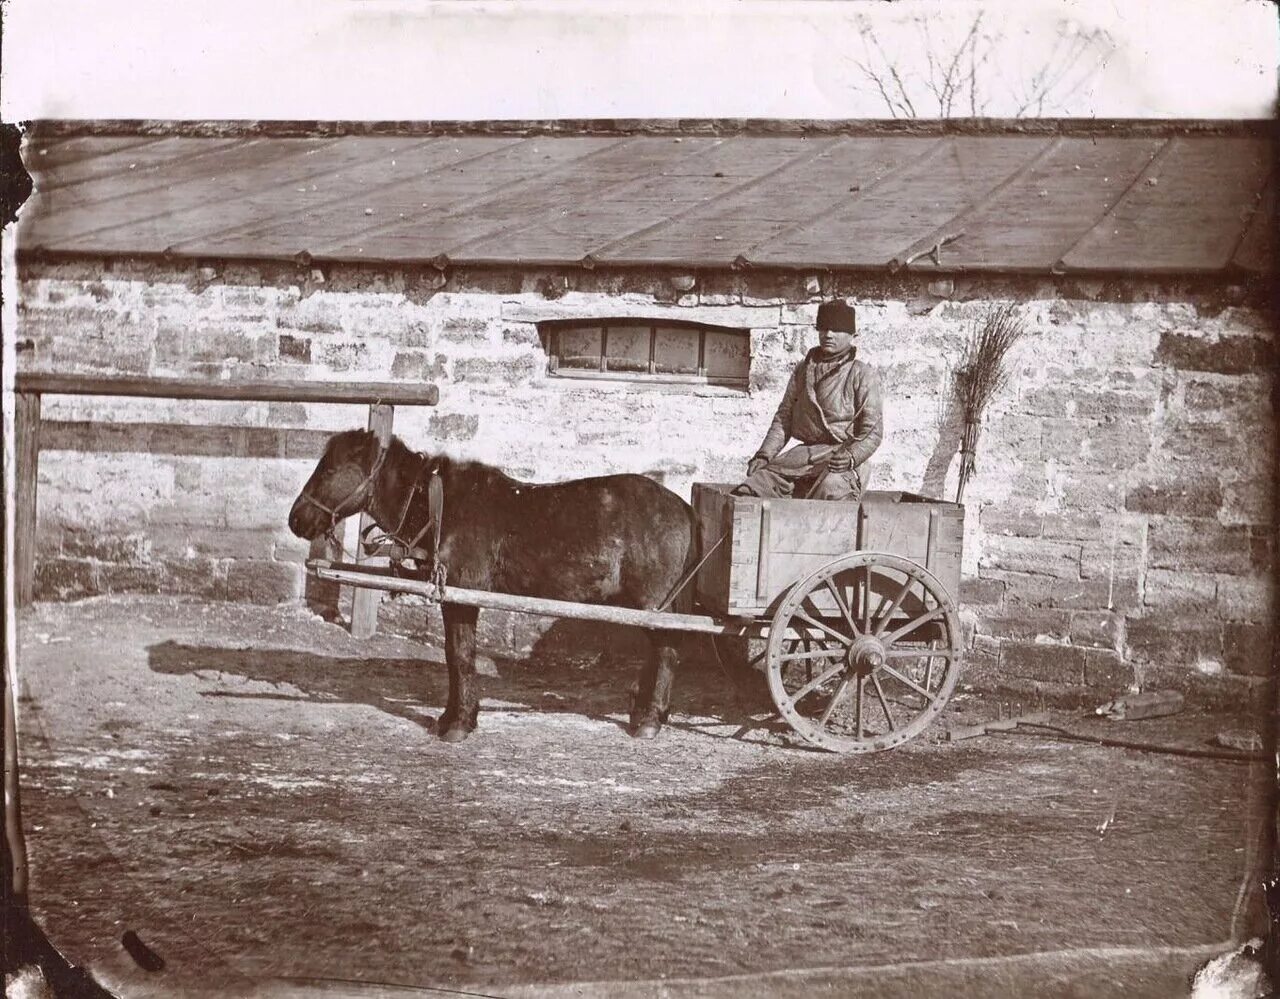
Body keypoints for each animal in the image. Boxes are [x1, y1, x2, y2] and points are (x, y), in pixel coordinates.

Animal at [288, 432, 701, 742]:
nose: (296, 520)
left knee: (666, 652)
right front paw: (454, 717)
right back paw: (647, 712)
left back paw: (649, 719)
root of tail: (682, 506)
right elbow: (456, 657)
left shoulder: (461, 599)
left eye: (330, 469)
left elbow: (460, 657)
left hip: (653, 605)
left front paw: (458, 724)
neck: (439, 507)